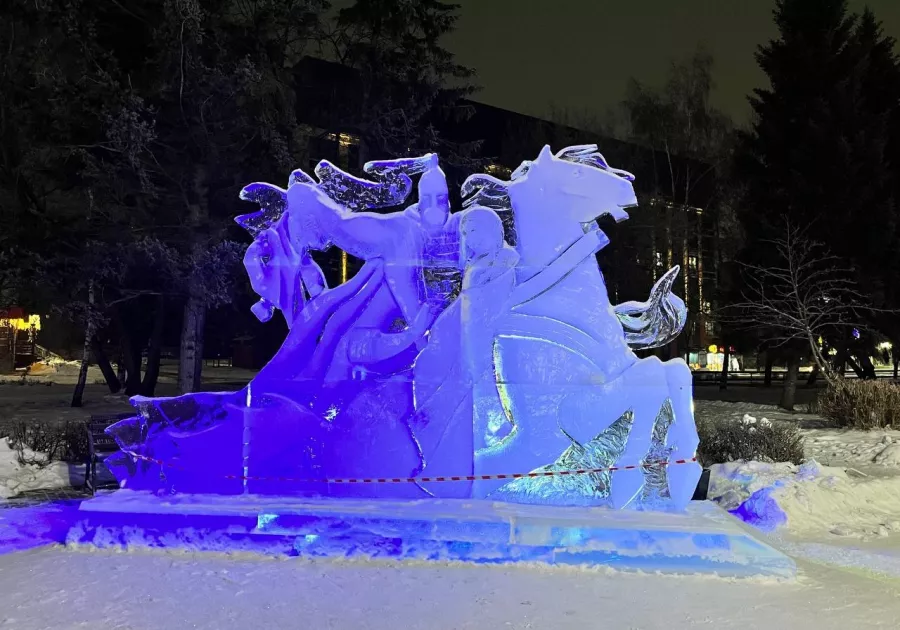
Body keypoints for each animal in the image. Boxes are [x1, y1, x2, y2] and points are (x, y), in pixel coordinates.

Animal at [102, 146, 700, 512]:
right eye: (580, 171)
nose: (630, 185)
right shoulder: (564, 413)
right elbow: (652, 380)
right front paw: (641, 478)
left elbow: (670, 370)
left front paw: (673, 469)